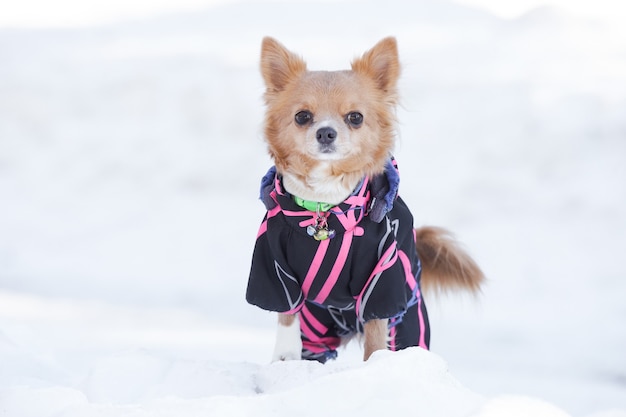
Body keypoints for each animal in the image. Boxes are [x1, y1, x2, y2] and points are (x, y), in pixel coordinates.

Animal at [245, 36, 482, 360]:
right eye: (302, 116)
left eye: (355, 118)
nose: (326, 133)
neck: (325, 208)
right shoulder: (273, 266)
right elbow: (286, 314)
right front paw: (284, 358)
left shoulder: (381, 278)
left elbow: (375, 332)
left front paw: (375, 364)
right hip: (316, 330)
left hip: (410, 322)